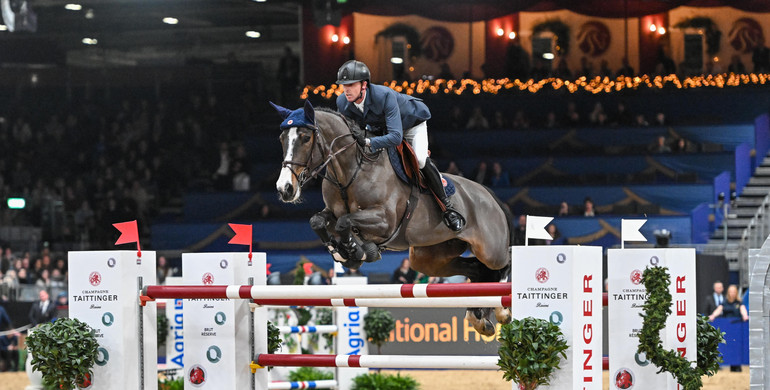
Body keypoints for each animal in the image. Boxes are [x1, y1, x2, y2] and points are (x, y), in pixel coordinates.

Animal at [270, 100, 510, 336]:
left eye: (305, 137)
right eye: (281, 138)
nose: (285, 189)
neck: (351, 171)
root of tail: (491, 197)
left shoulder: (384, 221)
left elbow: (345, 222)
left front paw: (355, 251)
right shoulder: (332, 211)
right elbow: (319, 221)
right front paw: (343, 252)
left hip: (490, 250)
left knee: (503, 263)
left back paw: (501, 312)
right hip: (429, 257)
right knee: (477, 270)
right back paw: (479, 318)